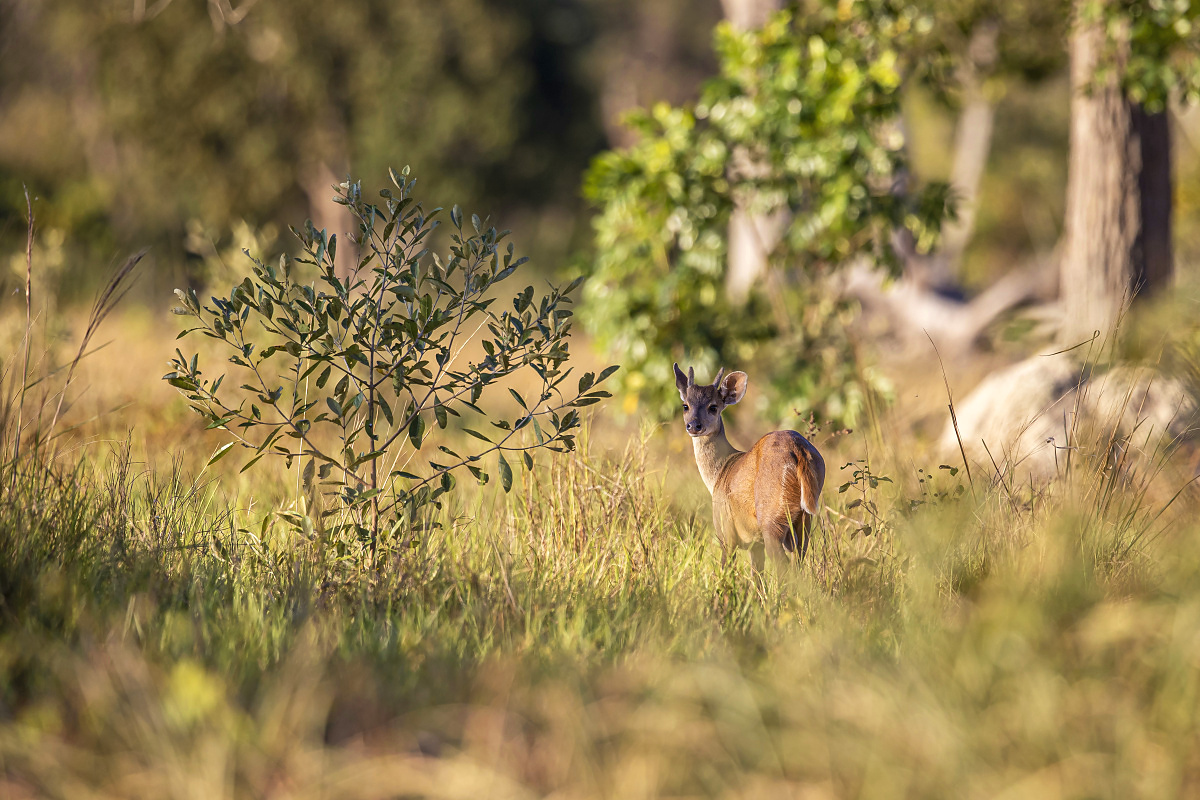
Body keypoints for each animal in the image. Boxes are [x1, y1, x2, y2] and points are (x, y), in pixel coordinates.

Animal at [676, 362, 825, 568]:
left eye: (713, 407)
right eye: (686, 405)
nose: (694, 425)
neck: (720, 473)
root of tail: (798, 449)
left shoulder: (725, 533)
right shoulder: (756, 545)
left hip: (771, 519)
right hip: (805, 521)